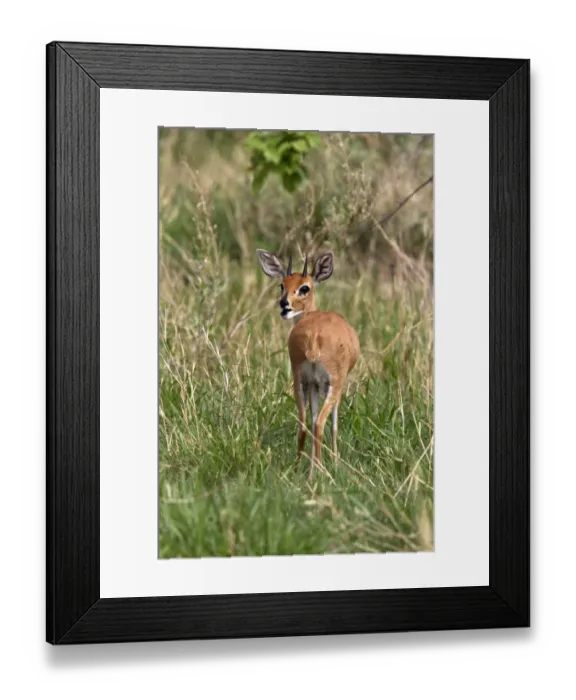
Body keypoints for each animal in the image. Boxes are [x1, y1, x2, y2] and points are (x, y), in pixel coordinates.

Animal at [256, 249, 360, 480]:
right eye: (282, 285)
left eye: (304, 287)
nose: (284, 304)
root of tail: (314, 336)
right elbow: (334, 425)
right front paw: (335, 464)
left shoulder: (312, 384)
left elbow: (310, 422)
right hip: (333, 383)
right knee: (320, 424)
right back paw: (321, 473)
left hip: (299, 380)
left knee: (304, 425)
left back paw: (300, 471)